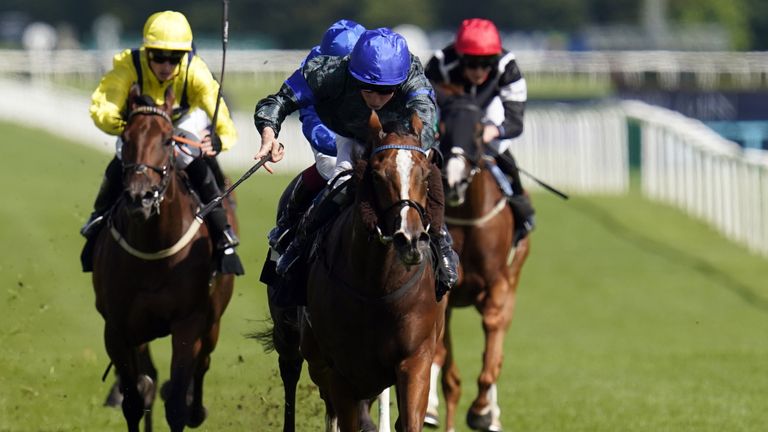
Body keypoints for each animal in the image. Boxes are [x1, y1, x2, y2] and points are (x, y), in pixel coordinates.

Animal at [91, 85, 234, 432]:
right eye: (126, 137)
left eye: (168, 140)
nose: (139, 197)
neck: (153, 250)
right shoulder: (117, 328)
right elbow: (134, 399)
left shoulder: (188, 323)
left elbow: (177, 403)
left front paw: (186, 405)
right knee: (148, 379)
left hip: (212, 321)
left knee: (203, 363)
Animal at [296, 111, 448, 432]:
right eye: (378, 175)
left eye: (425, 175)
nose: (410, 239)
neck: (375, 287)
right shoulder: (340, 370)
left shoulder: (415, 359)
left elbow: (410, 419)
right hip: (312, 357)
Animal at [424, 93, 532, 430]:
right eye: (442, 129)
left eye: (478, 131)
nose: (454, 181)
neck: (469, 217)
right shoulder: (445, 287)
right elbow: (440, 355)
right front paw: (430, 406)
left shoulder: (497, 284)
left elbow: (492, 337)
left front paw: (483, 410)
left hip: (514, 277)